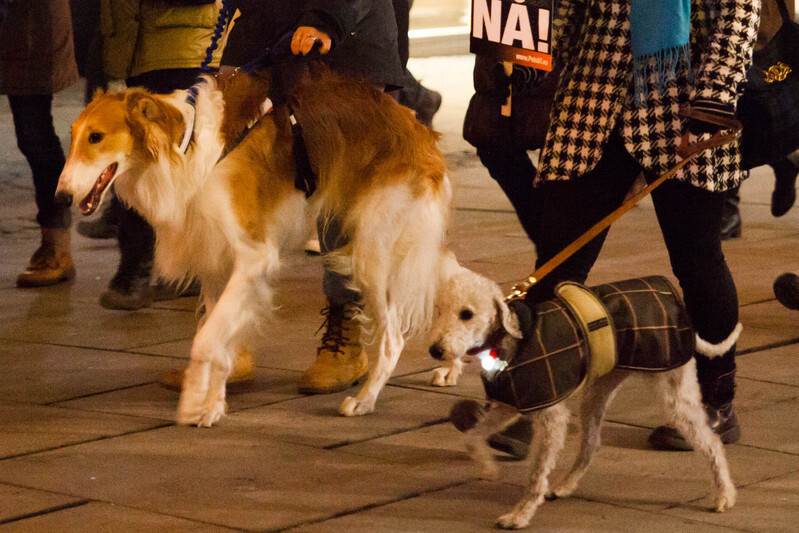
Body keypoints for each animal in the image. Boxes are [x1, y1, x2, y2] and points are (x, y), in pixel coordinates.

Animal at [54, 63, 456, 424]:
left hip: (371, 251)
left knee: (394, 340)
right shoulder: (215, 261)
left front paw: (192, 403)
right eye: (72, 135)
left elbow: (205, 341)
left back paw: (365, 400)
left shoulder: (254, 256)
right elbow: (217, 340)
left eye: (96, 137)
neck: (185, 148)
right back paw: (447, 370)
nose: (60, 197)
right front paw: (212, 405)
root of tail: (421, 132)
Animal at [428, 270, 736, 528]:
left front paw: (520, 515)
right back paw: (565, 485)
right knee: (590, 444)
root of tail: (672, 297)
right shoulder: (509, 404)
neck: (508, 340)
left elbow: (536, 475)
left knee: (711, 443)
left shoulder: (551, 415)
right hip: (597, 392)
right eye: (438, 310)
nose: (435, 350)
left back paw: (725, 495)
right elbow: (470, 437)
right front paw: (488, 467)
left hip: (675, 392)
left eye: (466, 314)